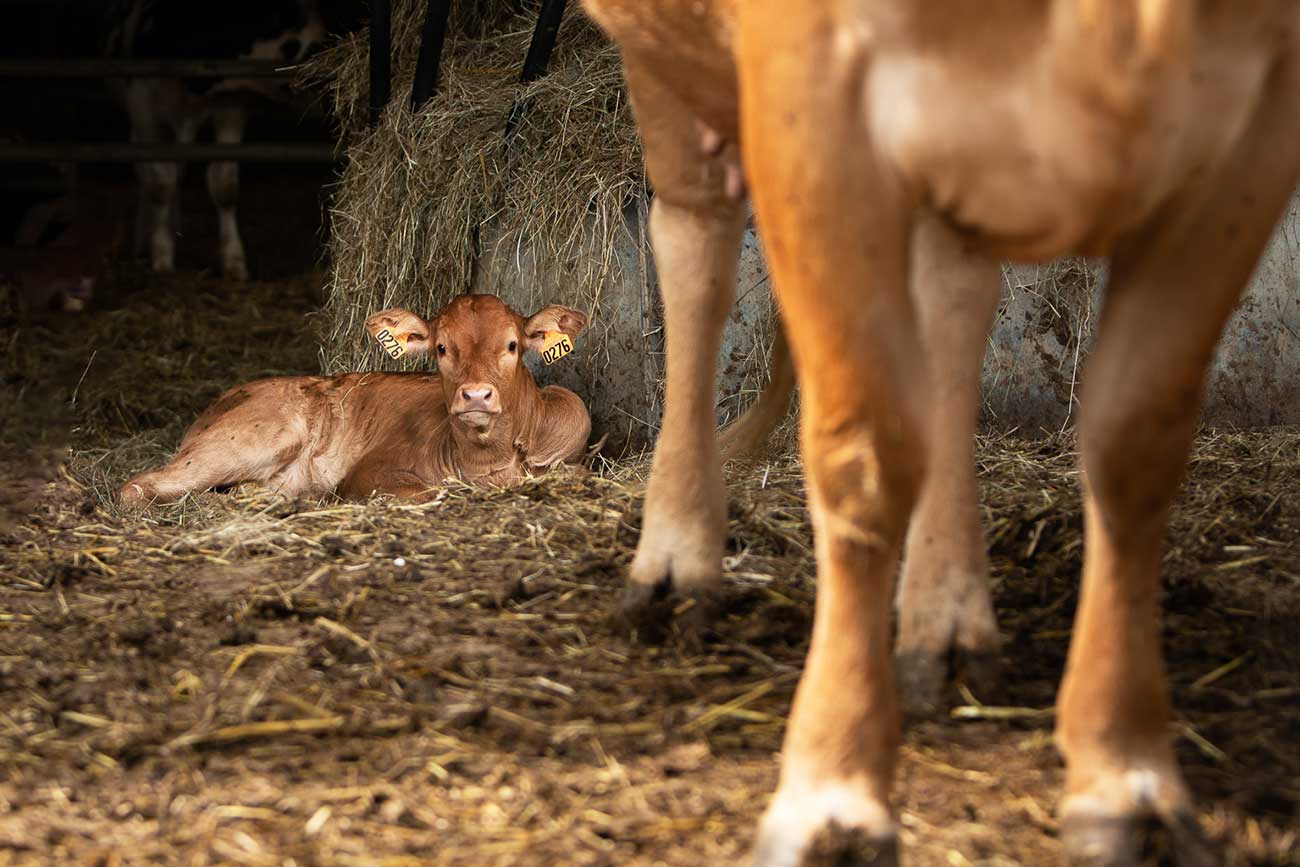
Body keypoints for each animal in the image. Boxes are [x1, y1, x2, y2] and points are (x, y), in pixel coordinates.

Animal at [106, 0, 349, 280]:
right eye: (317, 48)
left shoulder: (230, 102)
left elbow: (224, 183)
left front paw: (234, 262)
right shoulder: (141, 100)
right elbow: (159, 183)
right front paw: (161, 255)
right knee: (149, 174)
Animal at [116, 294, 591, 506]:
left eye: (512, 346)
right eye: (441, 348)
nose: (475, 394)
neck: (485, 464)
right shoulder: (367, 473)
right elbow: (424, 492)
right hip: (251, 440)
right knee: (136, 486)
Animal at [581, 1, 1300, 865]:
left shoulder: (1251, 138)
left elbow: (1137, 446)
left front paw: (1123, 779)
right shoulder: (812, 97)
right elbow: (865, 449)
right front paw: (835, 791)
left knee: (952, 303)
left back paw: (946, 619)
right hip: (673, 83)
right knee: (696, 250)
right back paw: (676, 562)